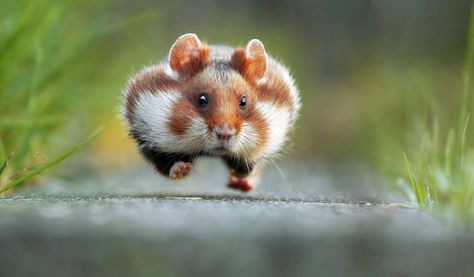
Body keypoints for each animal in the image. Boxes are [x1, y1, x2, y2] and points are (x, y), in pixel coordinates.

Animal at [122, 33, 300, 192]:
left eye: (243, 102)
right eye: (202, 99)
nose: (225, 134)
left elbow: (247, 166)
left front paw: (238, 173)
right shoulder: (149, 137)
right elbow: (165, 164)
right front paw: (182, 169)